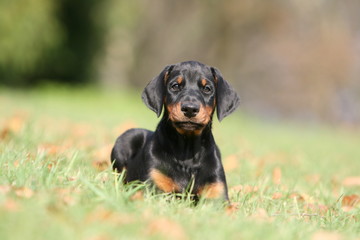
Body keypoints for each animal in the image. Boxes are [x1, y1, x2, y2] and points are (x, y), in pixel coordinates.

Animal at [109, 60, 239, 201]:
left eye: (207, 89)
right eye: (175, 86)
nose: (190, 109)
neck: (187, 153)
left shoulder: (217, 193)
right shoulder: (154, 188)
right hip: (126, 139)